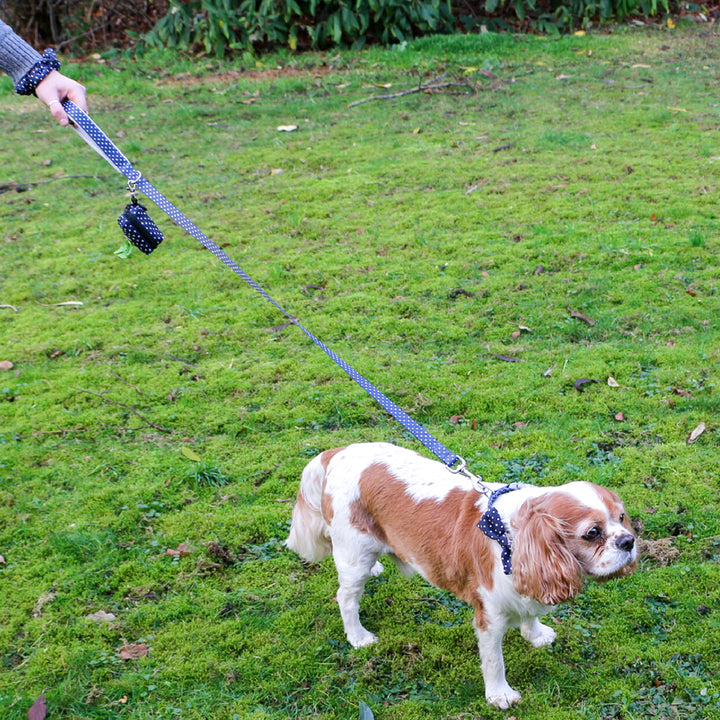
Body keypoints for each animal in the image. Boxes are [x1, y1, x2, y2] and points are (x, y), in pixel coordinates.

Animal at [286, 442, 636, 704]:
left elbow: (531, 613)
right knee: (346, 598)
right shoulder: (489, 617)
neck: (514, 537)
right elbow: (494, 661)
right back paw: (358, 636)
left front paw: (535, 635)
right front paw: (500, 695)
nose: (629, 541)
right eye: (592, 533)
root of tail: (339, 451)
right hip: (353, 555)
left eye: (622, 517)